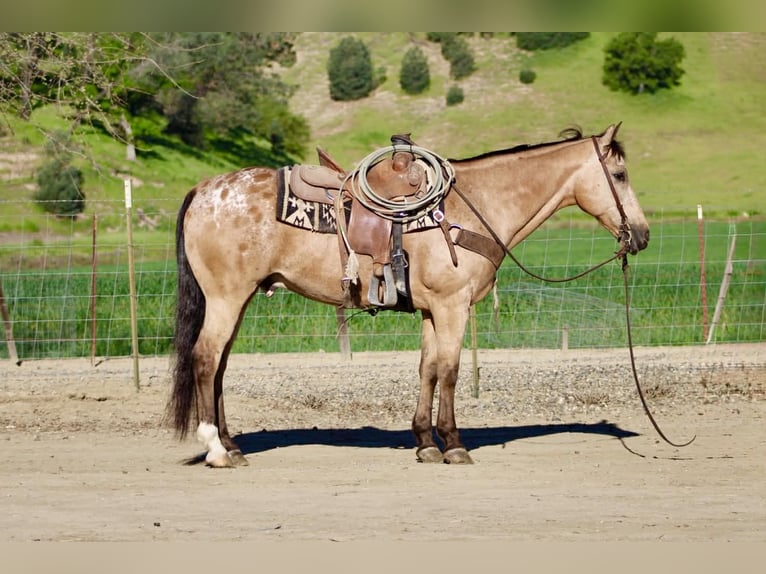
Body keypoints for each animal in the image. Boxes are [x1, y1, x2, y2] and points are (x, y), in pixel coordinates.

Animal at [167, 123, 650, 467]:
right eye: (621, 174)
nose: (642, 235)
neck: (472, 206)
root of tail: (202, 190)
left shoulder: (433, 309)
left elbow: (428, 370)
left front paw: (424, 442)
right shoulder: (453, 305)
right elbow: (451, 371)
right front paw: (453, 443)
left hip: (238, 299)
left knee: (220, 365)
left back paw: (232, 444)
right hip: (227, 298)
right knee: (206, 358)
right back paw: (216, 450)